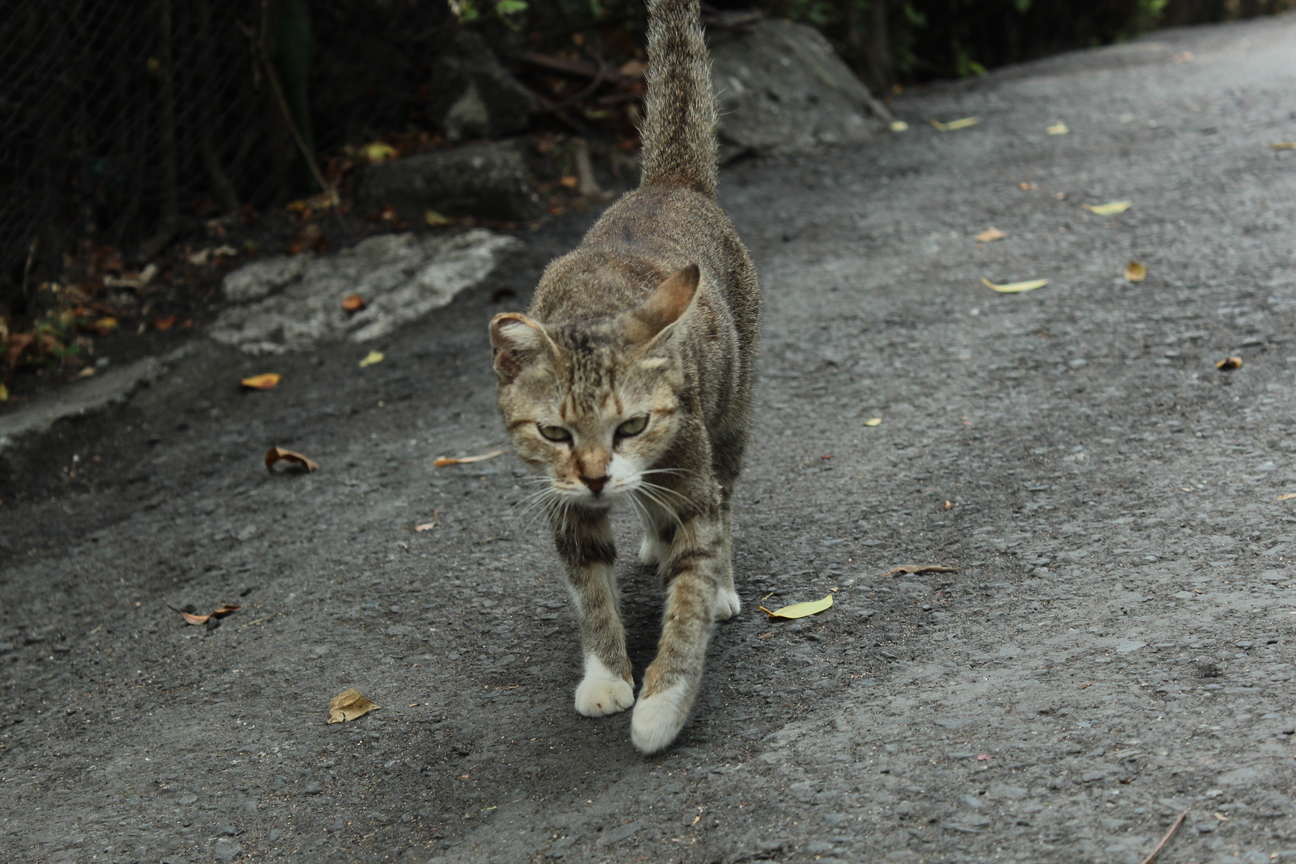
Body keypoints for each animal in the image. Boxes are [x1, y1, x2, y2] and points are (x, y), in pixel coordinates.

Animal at [492, 0, 756, 751]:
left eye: (632, 424)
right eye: (554, 433)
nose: (594, 476)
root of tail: (667, 184)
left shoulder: (692, 478)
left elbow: (689, 596)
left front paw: (663, 703)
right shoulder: (564, 507)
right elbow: (592, 596)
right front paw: (608, 675)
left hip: (731, 417)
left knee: (725, 496)